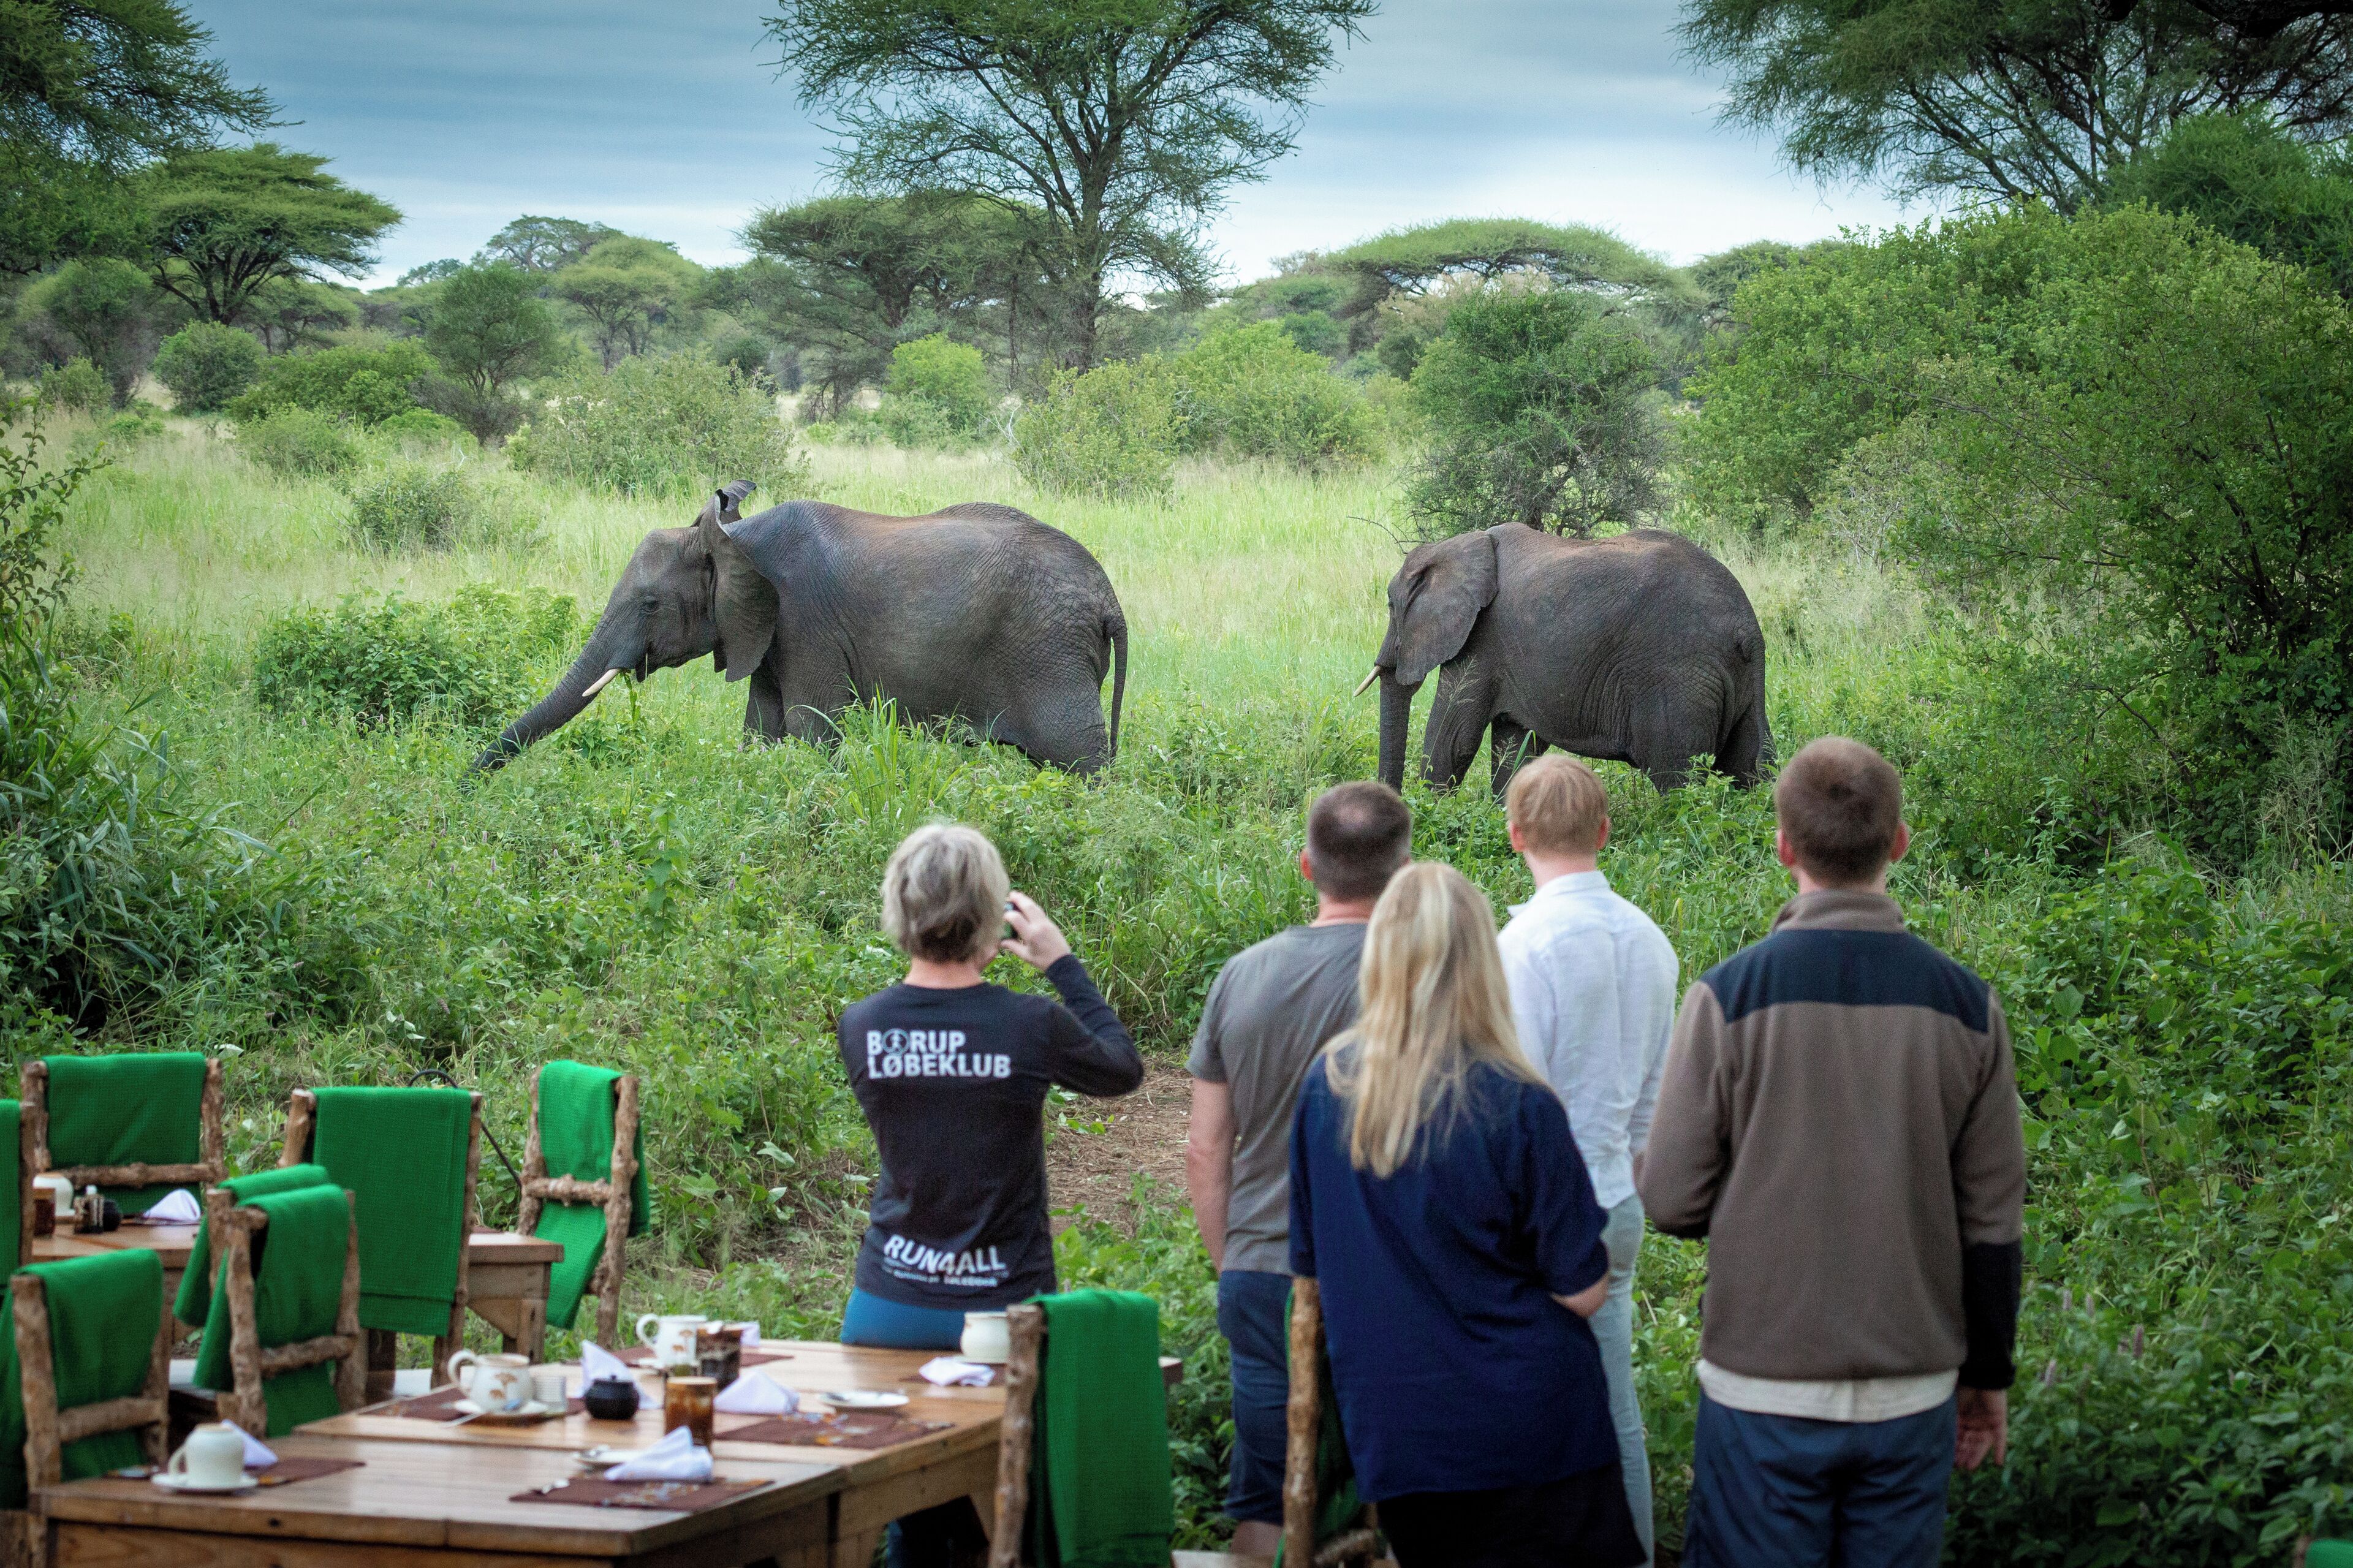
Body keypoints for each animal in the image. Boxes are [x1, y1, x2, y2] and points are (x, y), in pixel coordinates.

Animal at [472, 482, 1129, 773]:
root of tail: (1110, 601)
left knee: (1080, 762)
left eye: (651, 604)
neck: (737, 538)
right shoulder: (765, 636)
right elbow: (762, 732)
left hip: (1049, 655)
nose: (466, 784)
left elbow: (813, 732)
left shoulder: (805, 624)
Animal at [1360, 524, 1771, 797]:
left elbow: (1454, 739)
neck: (1459, 545)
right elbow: (1514, 748)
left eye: (1391, 606)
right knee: (1751, 767)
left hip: (1676, 682)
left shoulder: (1481, 640)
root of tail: (1744, 628)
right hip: (1740, 680)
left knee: (1678, 780)